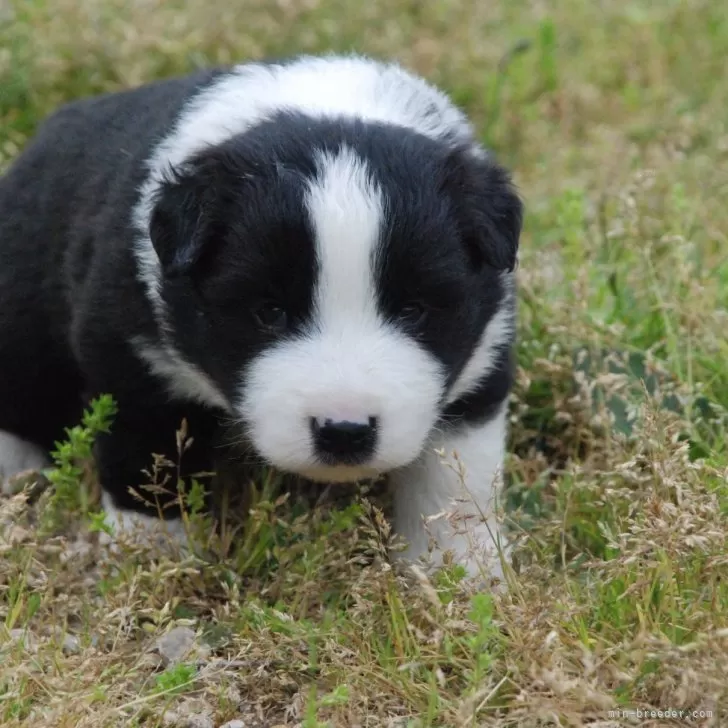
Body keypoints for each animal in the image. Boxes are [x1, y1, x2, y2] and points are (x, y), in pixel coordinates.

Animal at [1, 54, 524, 580]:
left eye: (413, 310)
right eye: (269, 312)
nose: (344, 431)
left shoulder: (484, 354)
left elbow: (455, 478)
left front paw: (458, 570)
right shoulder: (131, 355)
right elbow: (149, 457)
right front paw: (152, 557)